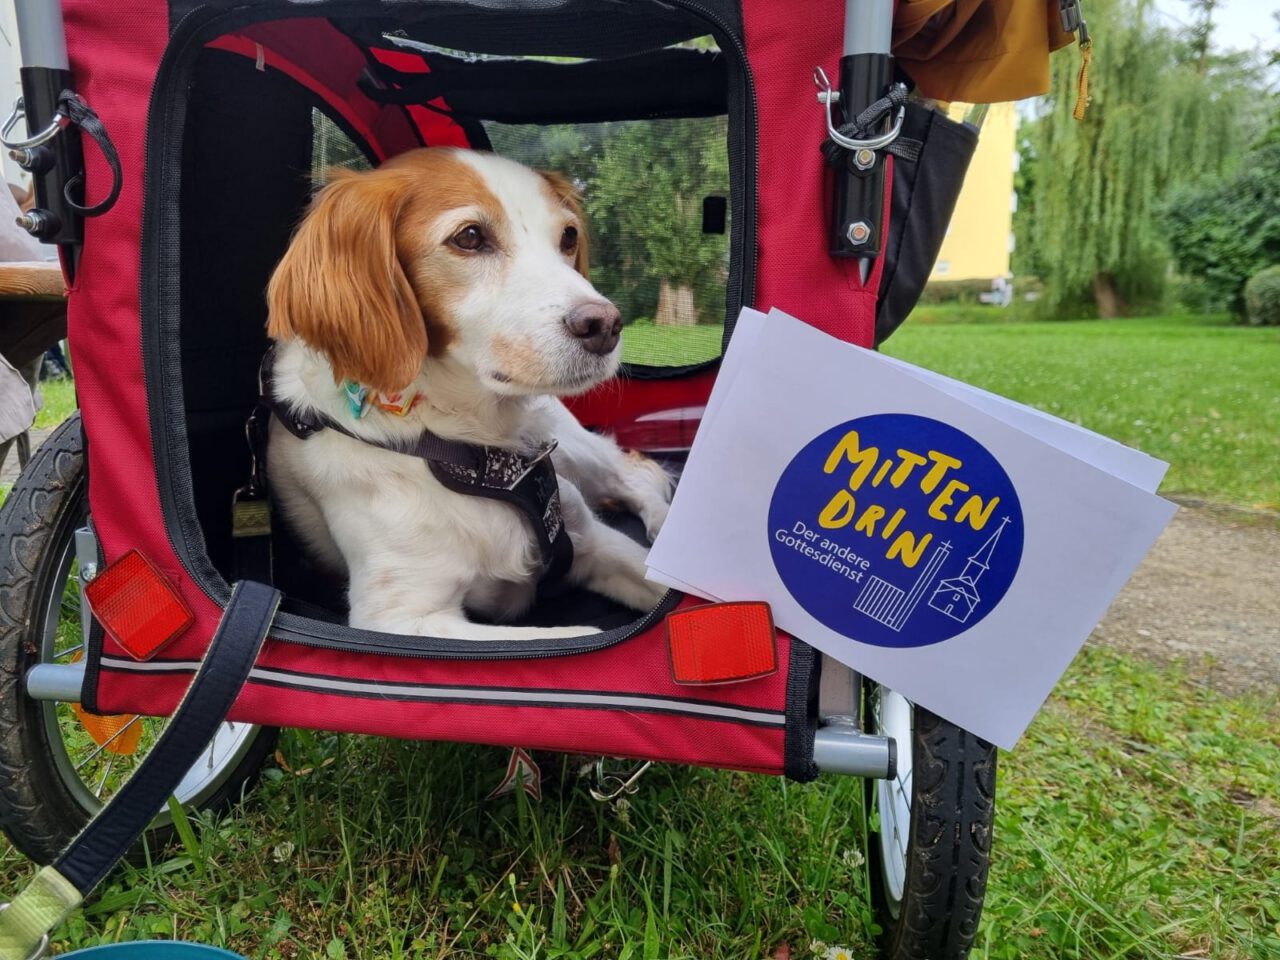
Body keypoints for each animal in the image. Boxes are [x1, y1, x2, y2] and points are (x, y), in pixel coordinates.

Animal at [266, 146, 675, 640]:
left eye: (568, 236)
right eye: (470, 237)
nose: (605, 326)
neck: (464, 444)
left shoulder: (592, 541)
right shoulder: (398, 617)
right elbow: (574, 637)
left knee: (632, 477)